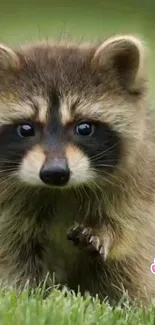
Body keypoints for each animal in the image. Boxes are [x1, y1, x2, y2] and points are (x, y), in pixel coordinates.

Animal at [0, 35, 154, 304]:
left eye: (84, 128)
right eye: (26, 129)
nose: (54, 173)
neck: (60, 191)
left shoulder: (138, 189)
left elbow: (129, 228)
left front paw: (104, 233)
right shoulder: (9, 210)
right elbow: (14, 255)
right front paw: (26, 294)